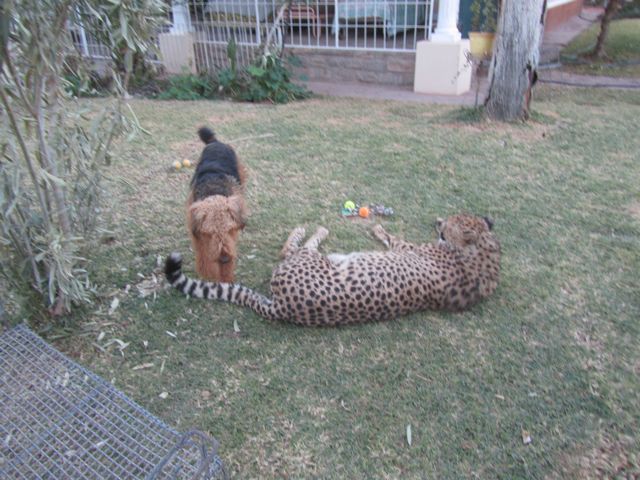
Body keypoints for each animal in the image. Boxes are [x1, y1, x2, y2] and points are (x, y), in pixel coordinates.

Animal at [165, 214, 500, 326]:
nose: (439, 222)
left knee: (291, 248)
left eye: (451, 223)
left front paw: (378, 228)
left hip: (309, 260)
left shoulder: (409, 249)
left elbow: (393, 238)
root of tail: (283, 308)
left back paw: (314, 229)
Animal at [186, 126, 249, 282]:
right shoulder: (198, 235)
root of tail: (215, 142)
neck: (213, 191)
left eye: (230, 229)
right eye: (209, 233)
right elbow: (204, 257)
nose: (225, 259)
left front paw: (226, 278)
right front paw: (209, 274)